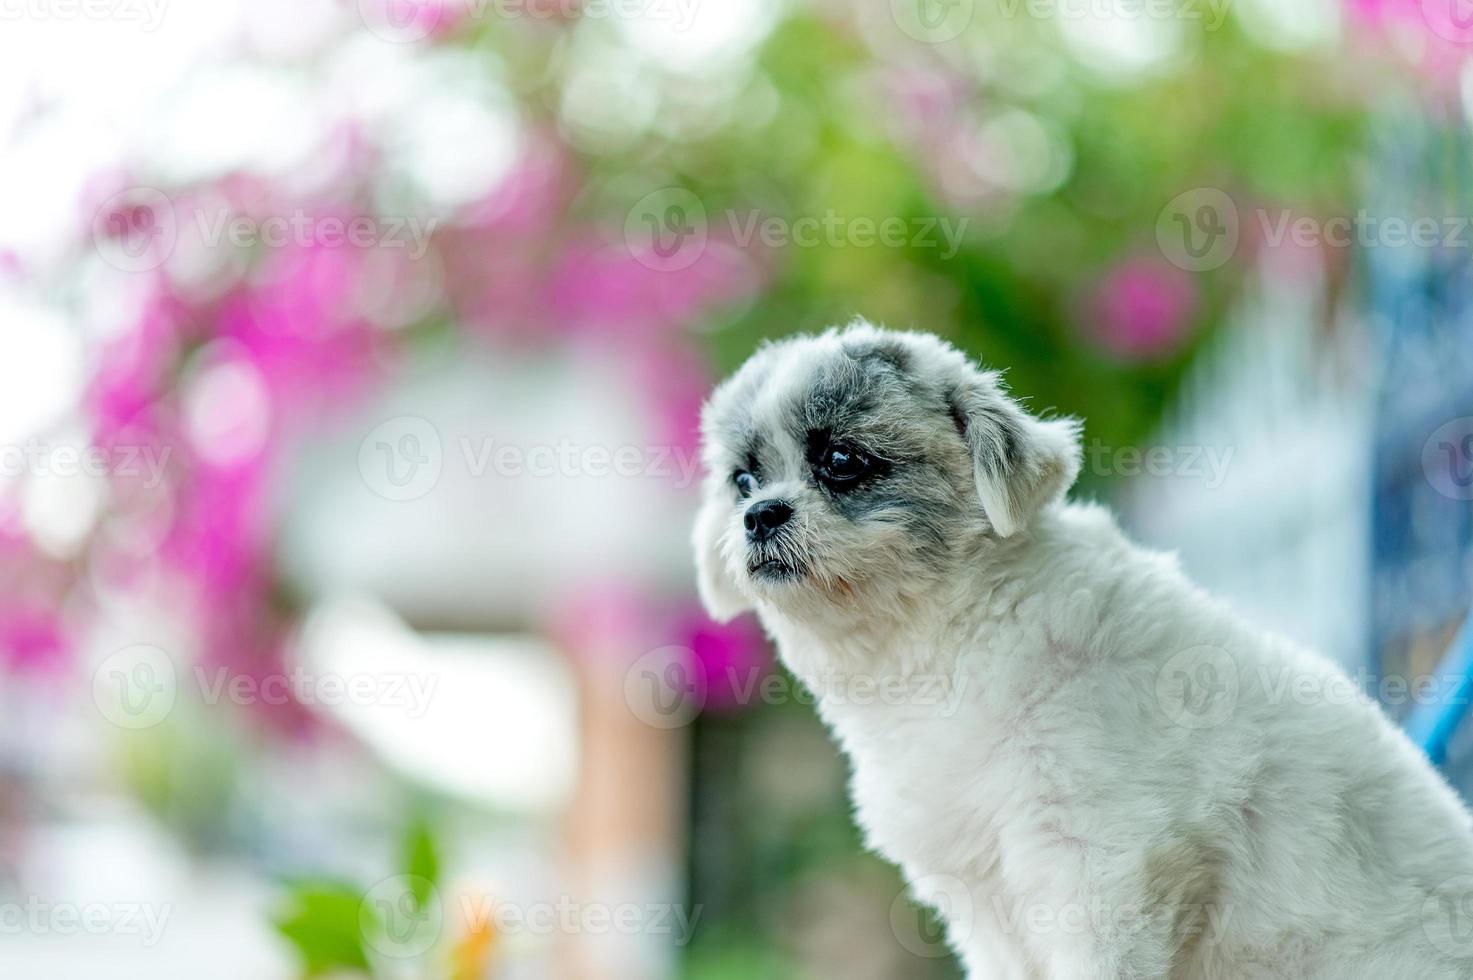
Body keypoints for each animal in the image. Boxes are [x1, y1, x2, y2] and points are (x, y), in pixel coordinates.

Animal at [695, 322, 1473, 978]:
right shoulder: (986, 907)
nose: (759, 515)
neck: (947, 649)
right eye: (742, 481)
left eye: (841, 460)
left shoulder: (1104, 875)